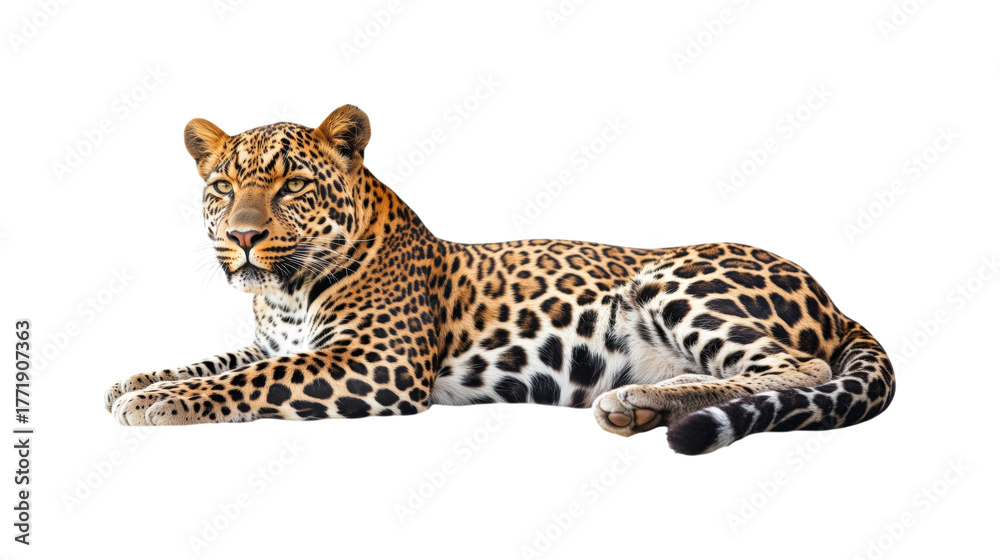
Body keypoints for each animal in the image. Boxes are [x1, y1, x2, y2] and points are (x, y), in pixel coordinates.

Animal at [104, 104, 895, 455]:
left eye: (292, 185)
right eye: (222, 187)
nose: (241, 236)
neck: (286, 291)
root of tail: (832, 297)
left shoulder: (377, 363)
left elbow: (246, 380)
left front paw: (158, 405)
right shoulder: (282, 341)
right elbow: (215, 360)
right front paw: (135, 382)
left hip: (678, 279)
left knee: (794, 366)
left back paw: (636, 399)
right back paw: (637, 406)